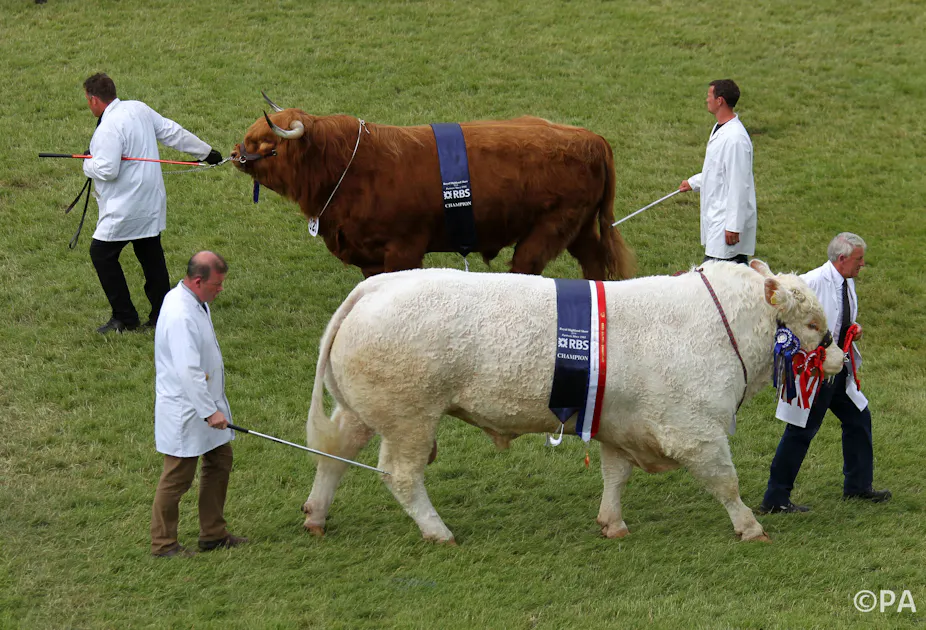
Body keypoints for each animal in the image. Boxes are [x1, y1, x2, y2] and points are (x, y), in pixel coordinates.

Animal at [231, 99, 634, 280]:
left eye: (268, 143)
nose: (234, 154)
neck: (350, 168)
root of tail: (590, 138)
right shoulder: (369, 256)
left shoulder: (404, 249)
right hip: (578, 228)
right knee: (594, 261)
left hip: (548, 230)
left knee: (527, 268)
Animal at [300, 260, 845, 544]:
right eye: (813, 323)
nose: (839, 356)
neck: (718, 326)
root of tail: (376, 284)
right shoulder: (695, 430)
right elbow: (726, 483)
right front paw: (750, 526)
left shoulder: (620, 426)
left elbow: (615, 477)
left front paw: (613, 523)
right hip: (411, 418)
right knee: (401, 474)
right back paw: (438, 531)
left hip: (363, 412)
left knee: (334, 454)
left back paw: (316, 516)